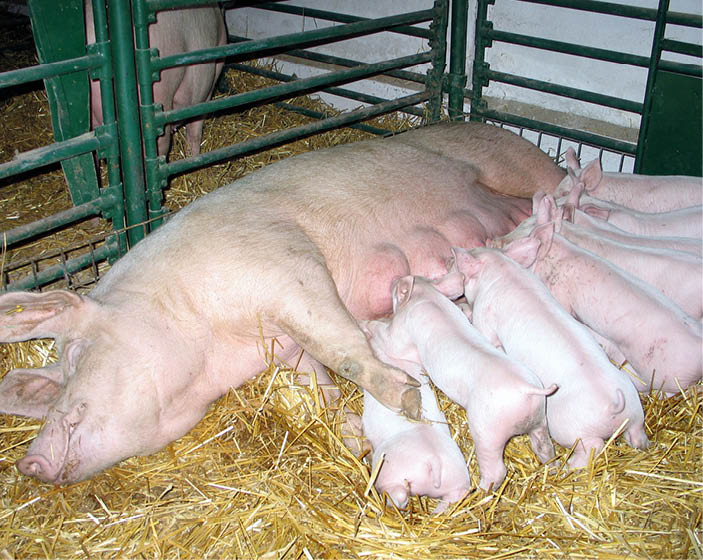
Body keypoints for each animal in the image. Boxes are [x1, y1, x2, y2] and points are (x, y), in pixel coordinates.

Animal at [360, 330, 470, 512]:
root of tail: (434, 459)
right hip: (457, 479)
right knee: (452, 498)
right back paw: (436, 512)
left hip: (389, 473)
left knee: (398, 494)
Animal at [364, 276, 556, 490]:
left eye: (396, 287)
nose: (394, 279)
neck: (427, 297)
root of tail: (527, 389)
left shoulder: (401, 331)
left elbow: (388, 339)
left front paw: (367, 324)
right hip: (539, 418)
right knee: (544, 446)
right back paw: (553, 468)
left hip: (487, 430)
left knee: (497, 470)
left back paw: (480, 490)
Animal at [452, 244, 649, 469]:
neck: (503, 271)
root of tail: (613, 405)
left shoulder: (485, 317)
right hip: (635, 410)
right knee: (637, 434)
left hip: (566, 425)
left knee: (592, 447)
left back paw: (568, 467)